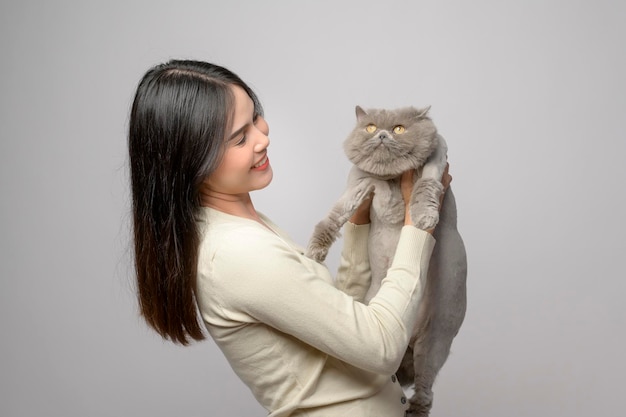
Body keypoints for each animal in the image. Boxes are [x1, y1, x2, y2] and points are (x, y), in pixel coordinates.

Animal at [304, 105, 466, 416]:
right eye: (370, 127)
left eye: (399, 128)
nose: (380, 134)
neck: (393, 175)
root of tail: (408, 342)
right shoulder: (357, 183)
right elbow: (348, 204)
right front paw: (314, 250)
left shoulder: (438, 159)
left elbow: (424, 185)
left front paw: (424, 216)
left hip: (434, 342)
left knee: (425, 393)